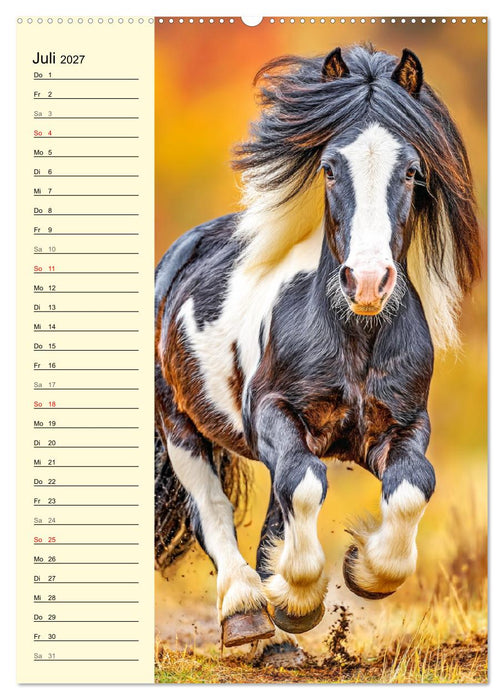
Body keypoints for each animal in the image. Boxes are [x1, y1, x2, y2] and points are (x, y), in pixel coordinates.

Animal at [154, 44, 480, 665]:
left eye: (412, 171)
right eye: (330, 167)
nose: (368, 282)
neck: (355, 339)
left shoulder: (401, 426)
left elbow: (412, 487)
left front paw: (364, 572)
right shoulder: (273, 415)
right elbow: (305, 485)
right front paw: (299, 598)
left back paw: (278, 640)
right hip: (181, 425)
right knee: (213, 509)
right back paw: (247, 614)